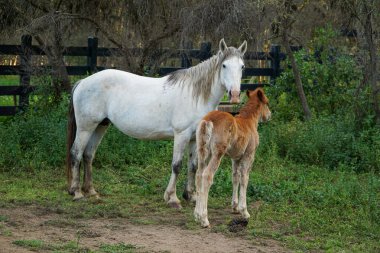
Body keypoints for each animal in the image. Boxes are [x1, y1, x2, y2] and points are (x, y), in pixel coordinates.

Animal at [67, 38, 248, 208]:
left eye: (242, 67)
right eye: (224, 65)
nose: (235, 95)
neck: (195, 95)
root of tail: (83, 82)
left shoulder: (194, 138)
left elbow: (193, 166)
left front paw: (190, 196)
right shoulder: (181, 135)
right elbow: (177, 165)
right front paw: (172, 198)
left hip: (100, 126)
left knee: (88, 155)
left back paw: (90, 191)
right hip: (85, 127)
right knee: (76, 153)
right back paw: (77, 192)